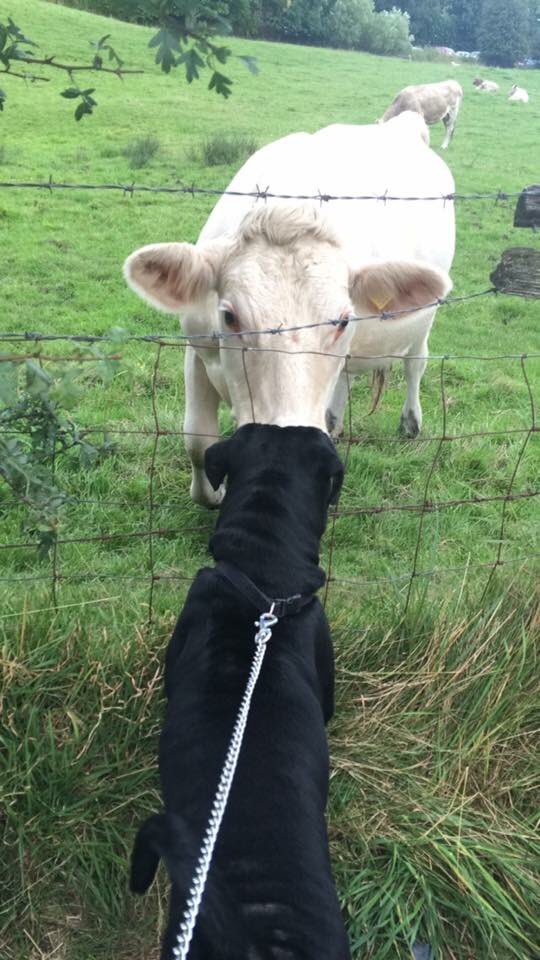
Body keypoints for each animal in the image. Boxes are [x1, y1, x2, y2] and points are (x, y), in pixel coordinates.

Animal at [124, 113, 454, 506]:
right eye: (229, 316)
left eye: (343, 320)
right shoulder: (198, 346)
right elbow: (197, 439)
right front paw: (214, 493)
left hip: (426, 319)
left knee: (416, 362)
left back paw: (410, 422)